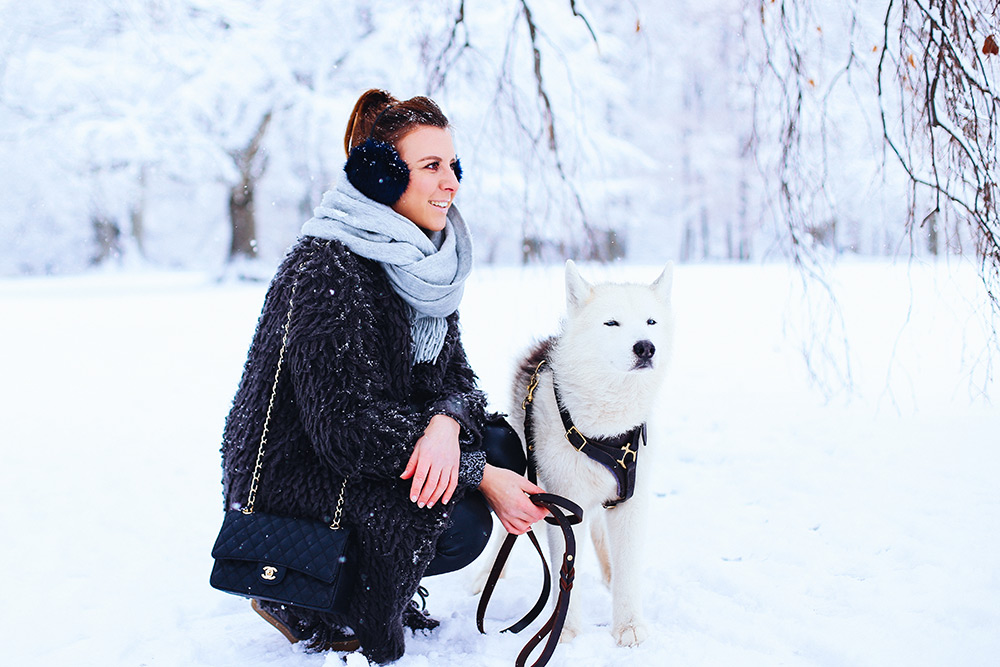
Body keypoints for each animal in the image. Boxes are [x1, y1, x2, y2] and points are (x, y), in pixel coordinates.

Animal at [498, 260, 672, 648]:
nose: (646, 347)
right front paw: (564, 631)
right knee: (506, 535)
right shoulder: (559, 504)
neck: (606, 431)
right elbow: (566, 569)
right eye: (612, 323)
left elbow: (627, 570)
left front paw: (628, 625)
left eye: (651, 322)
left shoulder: (630, 502)